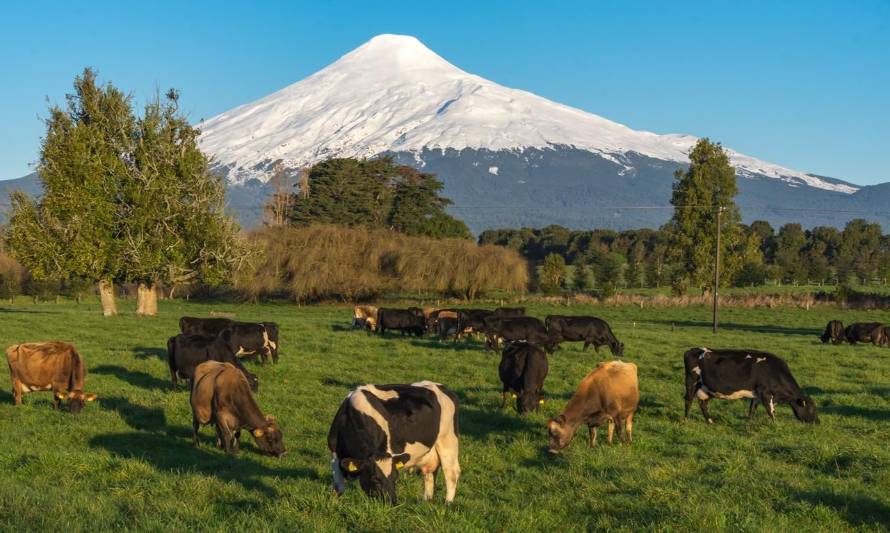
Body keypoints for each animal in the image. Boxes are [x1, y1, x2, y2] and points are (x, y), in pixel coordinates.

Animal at [330, 378, 462, 502]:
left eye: (395, 477)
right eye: (374, 478)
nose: (392, 501)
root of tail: (443, 387)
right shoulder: (334, 455)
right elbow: (338, 487)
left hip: (448, 440)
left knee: (451, 473)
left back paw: (447, 503)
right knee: (429, 473)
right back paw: (426, 500)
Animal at [684, 344, 816, 424]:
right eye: (811, 409)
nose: (817, 422)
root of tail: (692, 350)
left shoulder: (757, 393)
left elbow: (752, 409)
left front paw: (749, 422)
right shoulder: (765, 392)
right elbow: (770, 411)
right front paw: (775, 424)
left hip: (705, 389)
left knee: (703, 404)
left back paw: (711, 422)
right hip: (691, 381)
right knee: (688, 400)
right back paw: (686, 420)